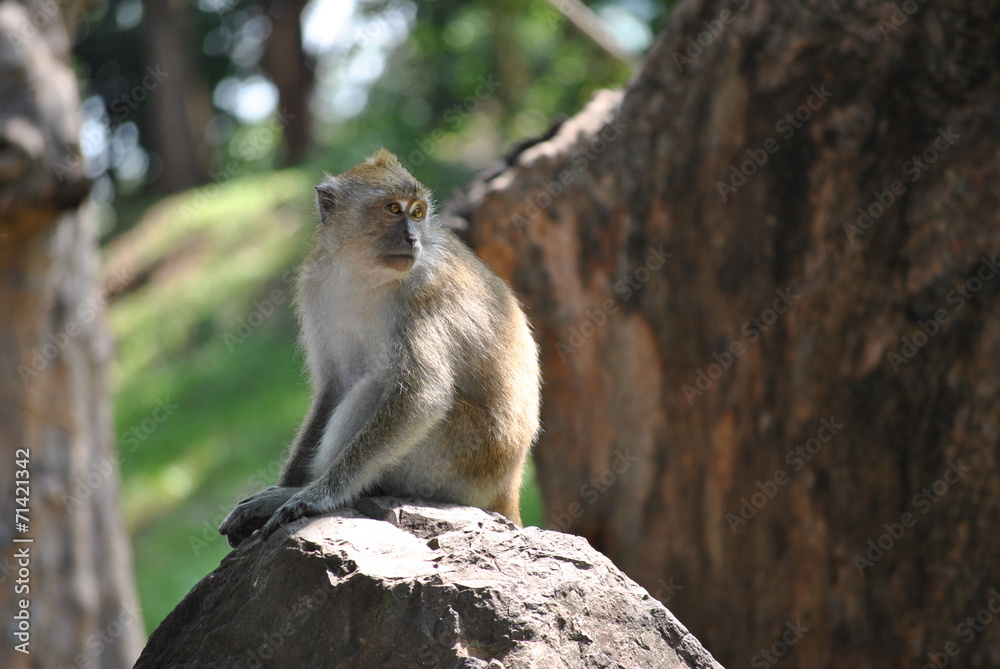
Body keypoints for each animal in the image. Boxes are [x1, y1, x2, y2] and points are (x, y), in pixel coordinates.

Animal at [219, 148, 541, 547]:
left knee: (377, 384)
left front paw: (314, 495)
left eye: (417, 213)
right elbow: (334, 385)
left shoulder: (424, 292)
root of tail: (509, 485)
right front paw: (288, 485)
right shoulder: (316, 285)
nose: (412, 239)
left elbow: (422, 395)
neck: (364, 271)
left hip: (464, 460)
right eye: (392, 209)